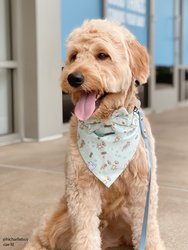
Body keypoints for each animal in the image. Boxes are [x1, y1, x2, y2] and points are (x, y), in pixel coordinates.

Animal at [23, 19, 164, 250]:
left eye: (102, 55)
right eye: (74, 56)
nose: (73, 77)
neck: (108, 126)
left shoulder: (143, 184)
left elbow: (149, 229)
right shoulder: (81, 187)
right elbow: (85, 233)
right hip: (57, 217)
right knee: (41, 237)